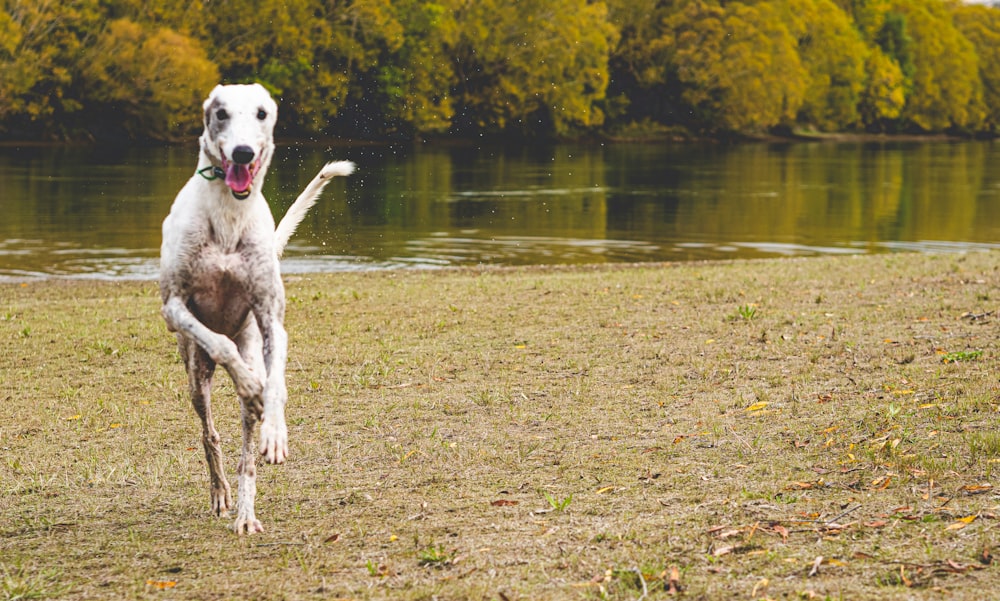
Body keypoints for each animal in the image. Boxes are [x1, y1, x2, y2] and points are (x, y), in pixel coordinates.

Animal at [158, 82, 354, 532]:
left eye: (263, 113)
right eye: (221, 113)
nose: (244, 152)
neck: (229, 216)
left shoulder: (270, 321)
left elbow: (276, 382)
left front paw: (275, 432)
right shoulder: (173, 309)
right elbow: (220, 345)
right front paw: (249, 383)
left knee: (247, 454)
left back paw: (246, 512)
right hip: (195, 376)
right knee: (209, 432)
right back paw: (221, 491)